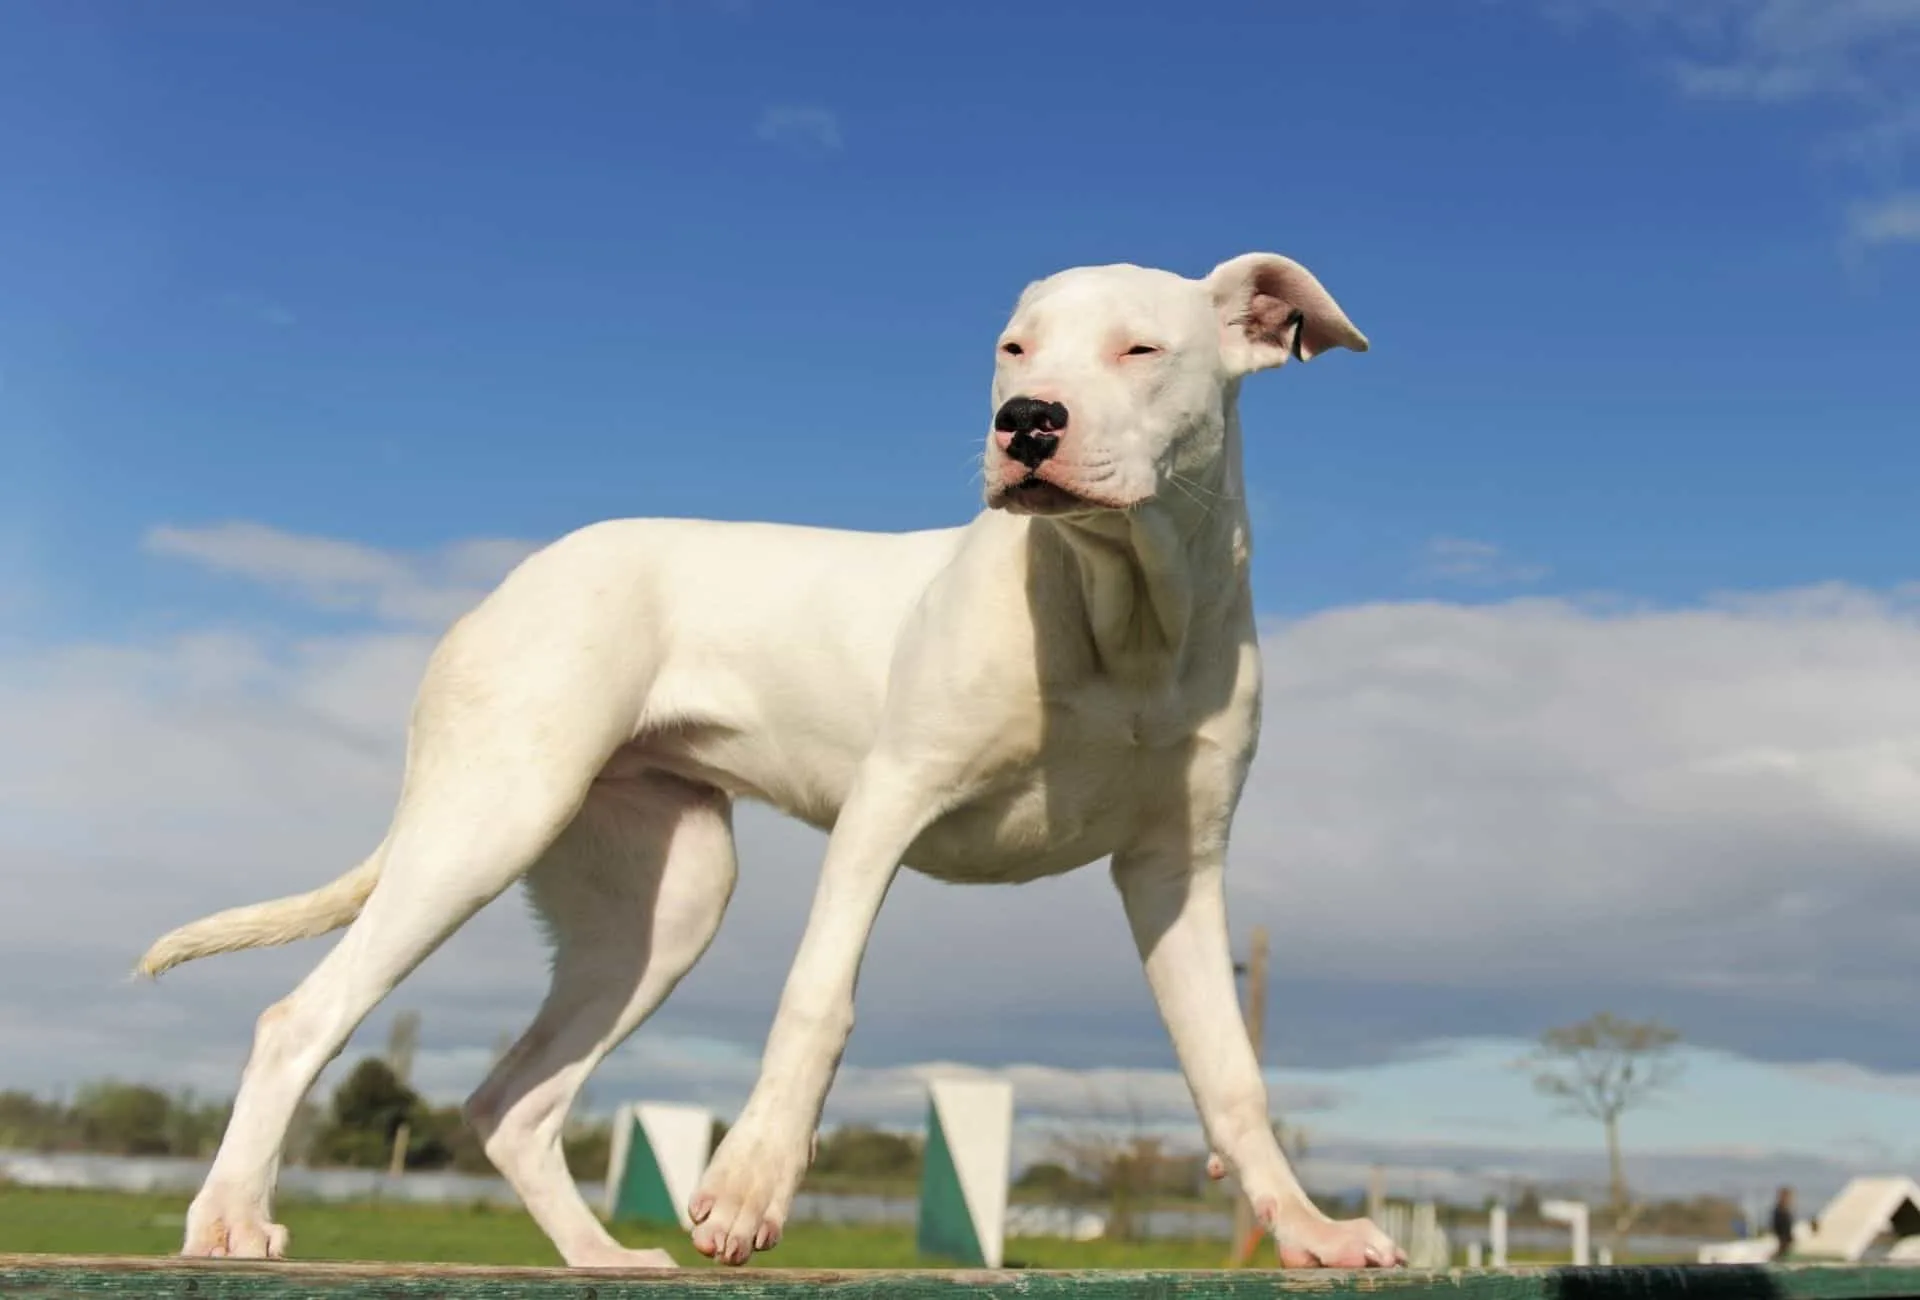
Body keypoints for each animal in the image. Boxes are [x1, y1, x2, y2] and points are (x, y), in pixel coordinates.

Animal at [131, 251, 1397, 1267]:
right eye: (1015, 349)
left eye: (1142, 348)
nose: (1028, 421)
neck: (1121, 613)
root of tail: (508, 585)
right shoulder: (886, 808)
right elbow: (816, 999)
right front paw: (748, 1184)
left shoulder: (1177, 870)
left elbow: (1230, 1070)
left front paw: (1311, 1229)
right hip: (489, 820)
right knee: (303, 1018)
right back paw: (231, 1219)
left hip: (662, 903)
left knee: (513, 1101)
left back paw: (602, 1257)